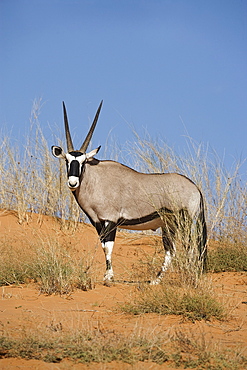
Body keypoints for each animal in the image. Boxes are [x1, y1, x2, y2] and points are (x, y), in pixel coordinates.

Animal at [51, 100, 206, 284]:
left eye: (83, 161)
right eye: (67, 161)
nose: (73, 182)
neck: (96, 179)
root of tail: (195, 188)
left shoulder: (111, 220)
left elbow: (108, 247)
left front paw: (109, 276)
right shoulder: (98, 222)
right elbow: (103, 246)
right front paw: (107, 274)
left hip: (184, 222)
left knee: (190, 247)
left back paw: (189, 276)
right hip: (169, 225)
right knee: (171, 250)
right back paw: (156, 280)